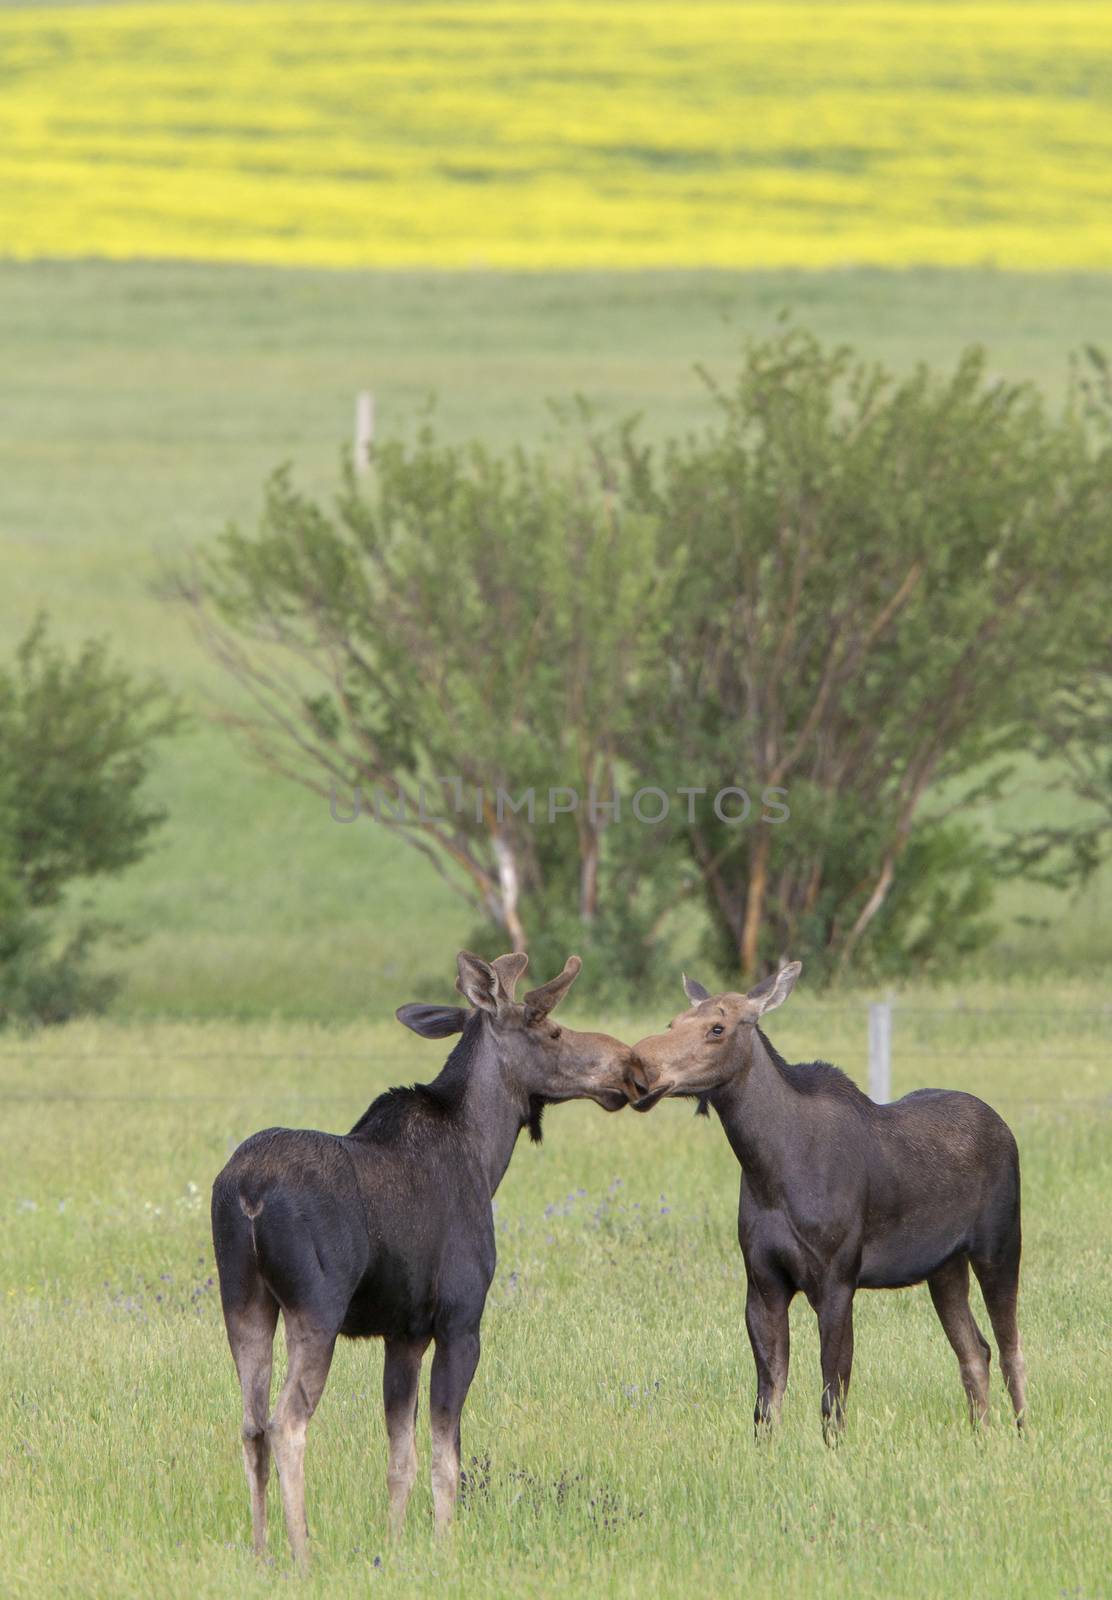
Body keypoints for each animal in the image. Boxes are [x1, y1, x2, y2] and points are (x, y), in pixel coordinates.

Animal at [206, 947, 627, 1561]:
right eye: (550, 1029)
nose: (627, 1068)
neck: (486, 1154)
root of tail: (248, 1193)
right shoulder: (459, 1321)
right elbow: (446, 1460)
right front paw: (446, 1549)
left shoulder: (403, 1333)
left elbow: (399, 1459)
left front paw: (398, 1546)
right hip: (316, 1308)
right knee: (286, 1423)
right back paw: (302, 1553)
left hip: (243, 1302)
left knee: (250, 1423)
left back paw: (261, 1554)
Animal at [630, 960, 1030, 1440]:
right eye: (672, 1023)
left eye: (717, 1028)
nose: (640, 1070)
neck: (769, 1169)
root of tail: (1005, 1127)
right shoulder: (762, 1284)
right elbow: (767, 1401)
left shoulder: (837, 1280)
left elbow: (831, 1395)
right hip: (945, 1267)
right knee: (975, 1350)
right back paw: (981, 1435)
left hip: (999, 1245)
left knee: (1011, 1348)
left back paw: (1023, 1434)